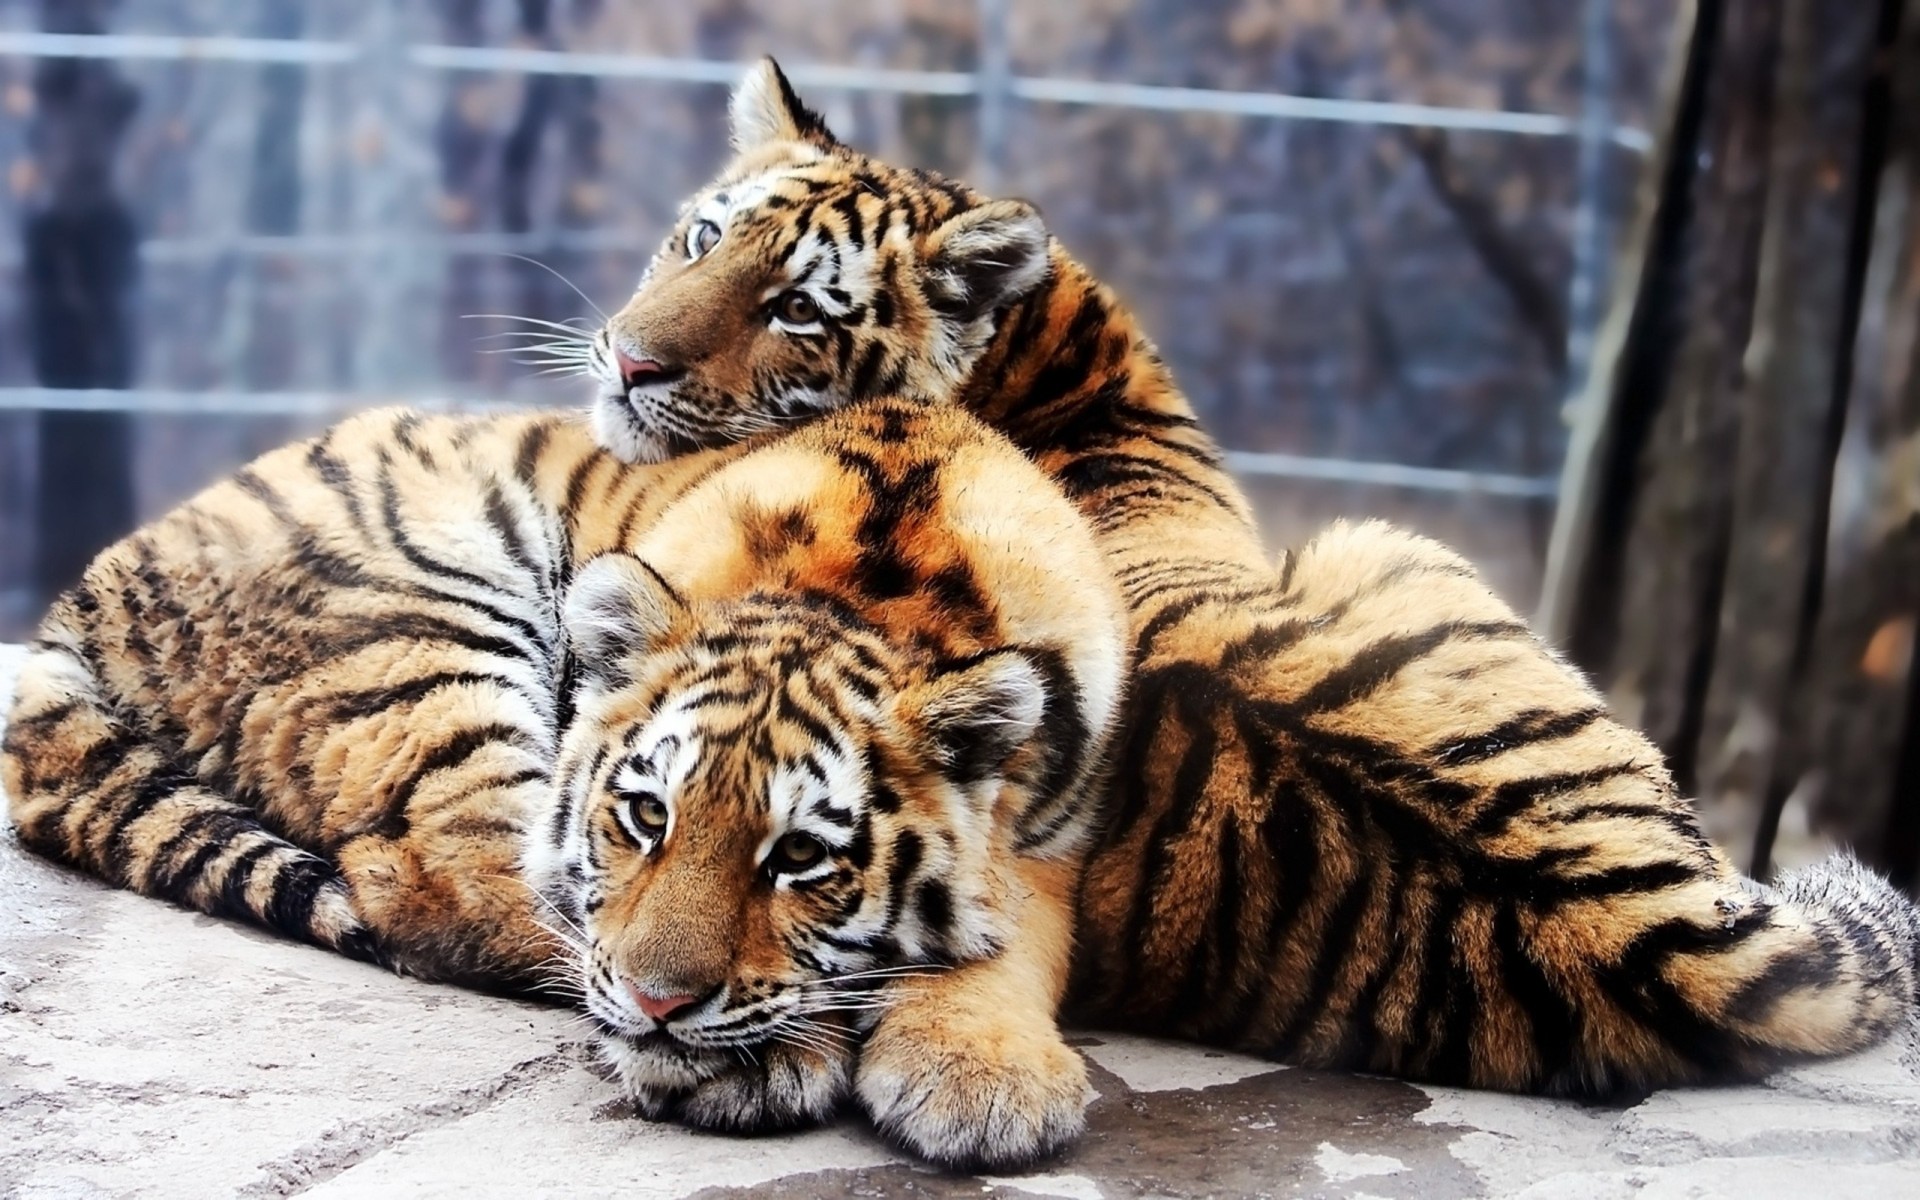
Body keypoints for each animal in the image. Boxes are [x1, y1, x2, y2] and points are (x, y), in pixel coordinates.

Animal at [1, 396, 1127, 1169]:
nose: (660, 1006)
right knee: (449, 883)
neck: (875, 595)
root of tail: (93, 585)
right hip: (428, 631)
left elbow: (1011, 940)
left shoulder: (1062, 831)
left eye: (801, 857)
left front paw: (983, 1081)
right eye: (645, 815)